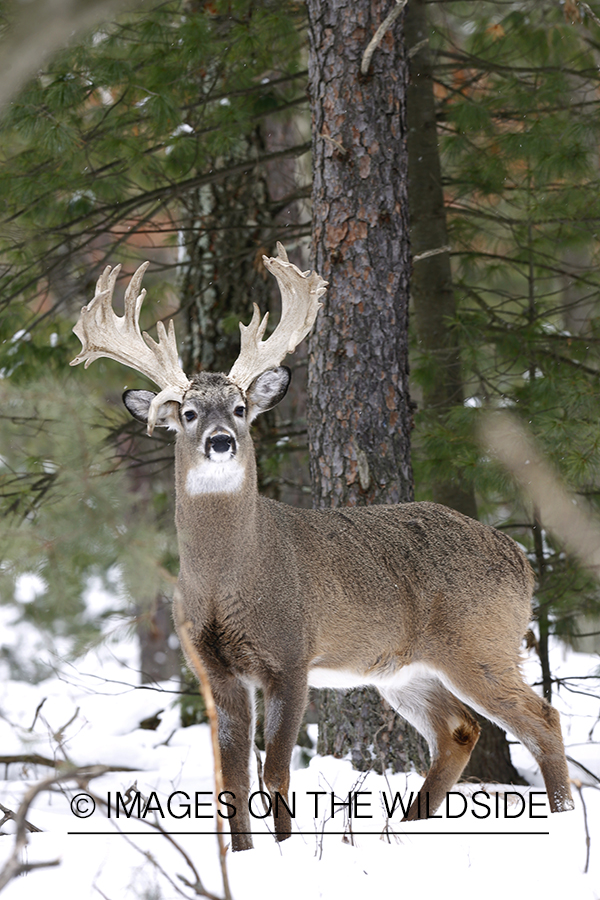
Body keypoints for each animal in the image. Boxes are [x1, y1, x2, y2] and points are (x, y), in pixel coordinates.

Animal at [72, 244, 576, 852]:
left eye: (240, 408)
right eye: (188, 414)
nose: (221, 441)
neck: (222, 581)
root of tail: (521, 560)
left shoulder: (292, 654)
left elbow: (276, 771)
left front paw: (285, 850)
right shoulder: (213, 668)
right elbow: (232, 777)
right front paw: (243, 855)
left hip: (481, 643)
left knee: (542, 720)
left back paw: (562, 821)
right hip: (406, 669)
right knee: (460, 729)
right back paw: (409, 826)